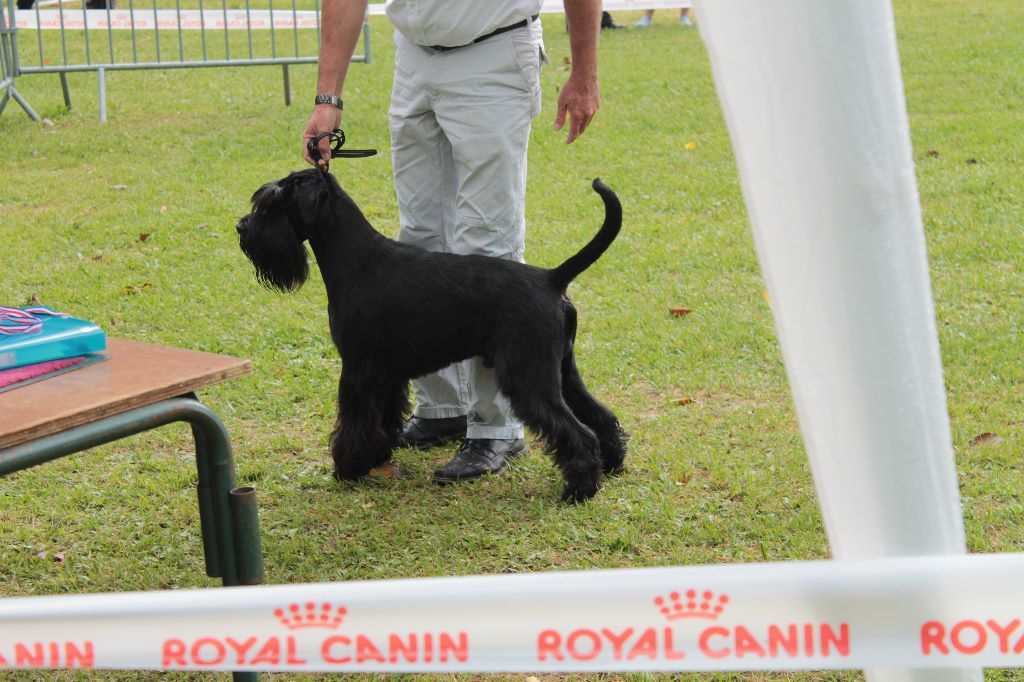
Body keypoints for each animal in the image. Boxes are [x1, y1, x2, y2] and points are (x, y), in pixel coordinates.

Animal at [236, 169, 626, 499]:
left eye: (272, 204)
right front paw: (376, 455)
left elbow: (354, 420)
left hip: (530, 376)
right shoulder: (386, 374)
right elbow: (382, 417)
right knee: (599, 415)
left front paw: (348, 467)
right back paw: (612, 463)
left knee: (577, 432)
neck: (356, 259)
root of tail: (552, 278)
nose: (242, 228)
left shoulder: (358, 370)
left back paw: (580, 489)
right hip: (562, 369)